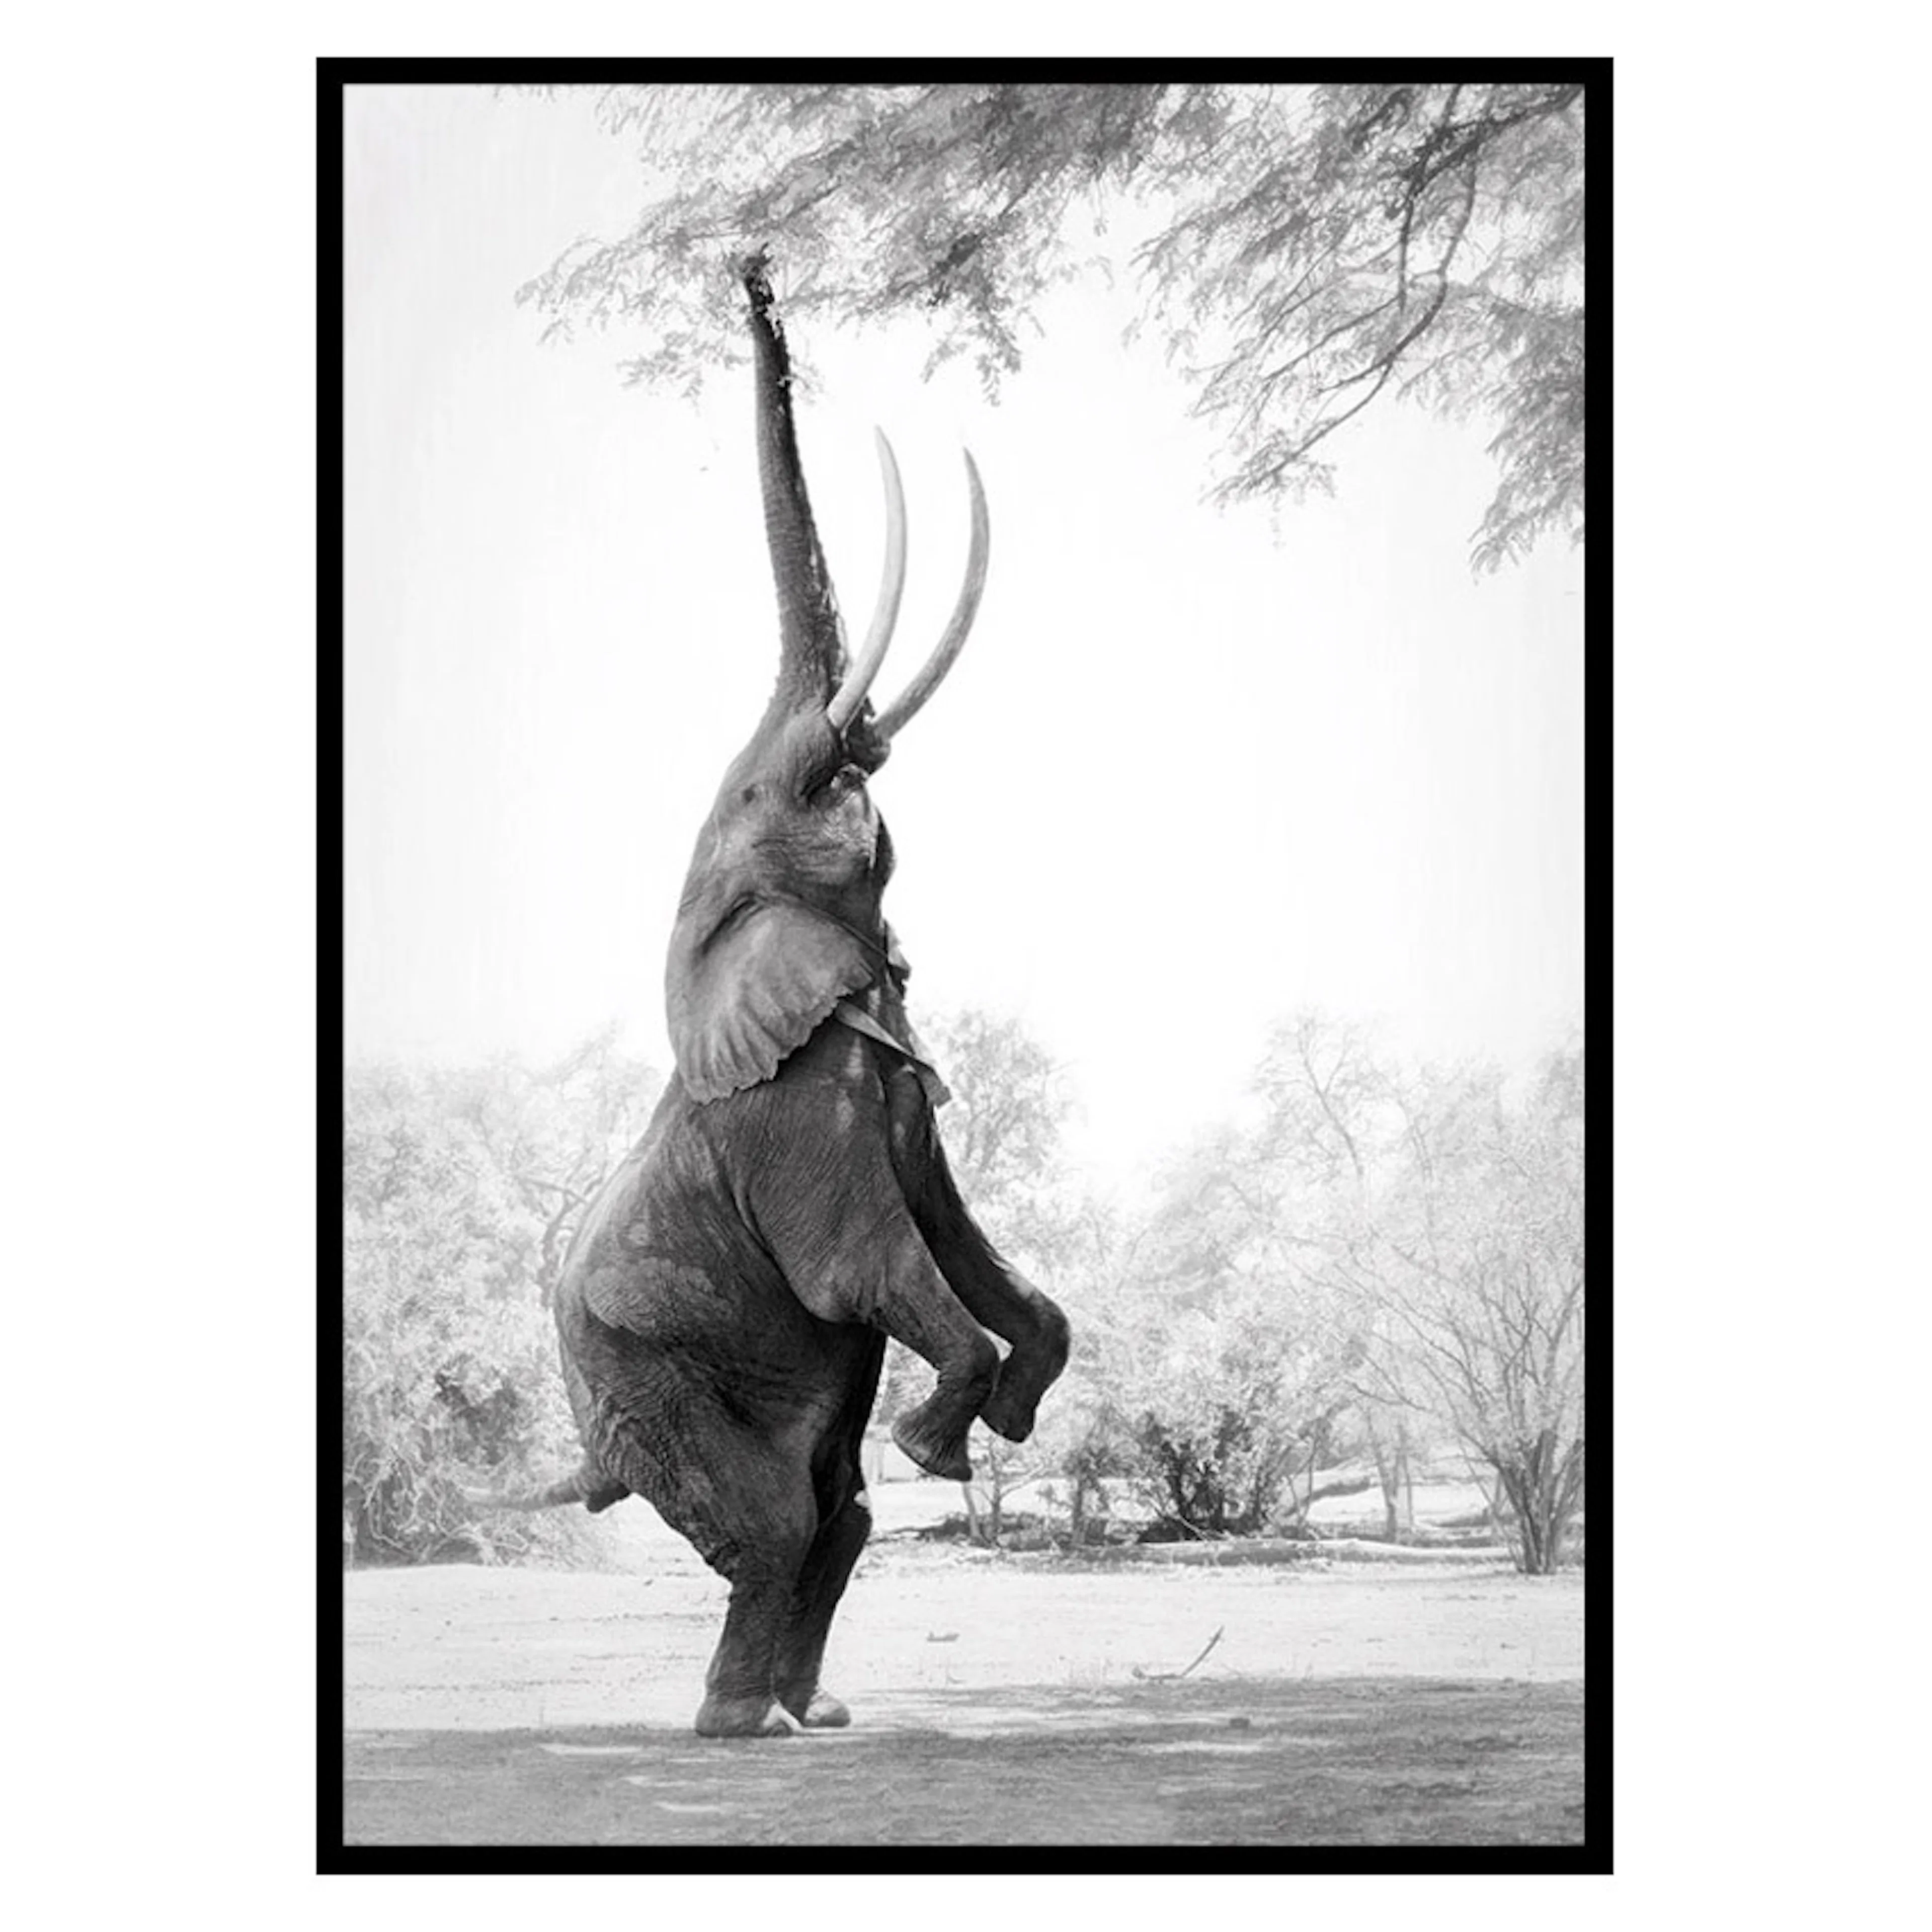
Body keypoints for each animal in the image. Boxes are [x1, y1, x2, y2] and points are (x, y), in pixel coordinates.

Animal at [525, 256, 1070, 1739]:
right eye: (776, 789)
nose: (755, 270)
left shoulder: (890, 1079)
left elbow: (972, 1250)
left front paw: (996, 1425)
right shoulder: (793, 1113)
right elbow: (865, 1268)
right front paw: (947, 1445)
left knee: (840, 1518)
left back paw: (797, 1717)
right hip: (631, 1362)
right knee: (778, 1519)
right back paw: (731, 1725)